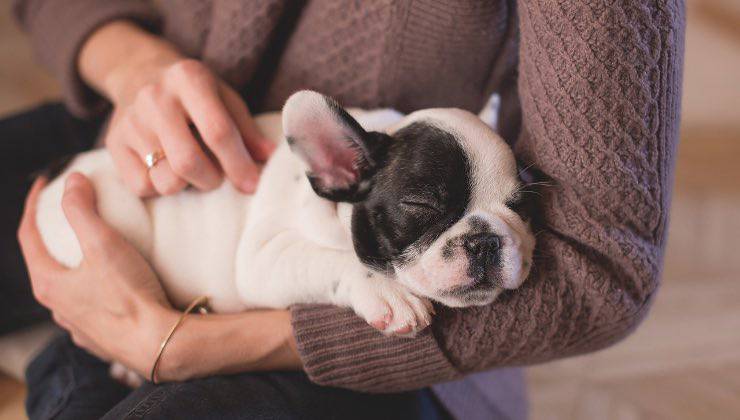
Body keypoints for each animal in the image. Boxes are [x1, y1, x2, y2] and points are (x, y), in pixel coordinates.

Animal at [36, 88, 532, 370]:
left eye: (521, 206)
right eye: (422, 205)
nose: (485, 240)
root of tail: (58, 172)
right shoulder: (263, 258)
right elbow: (331, 260)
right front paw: (387, 292)